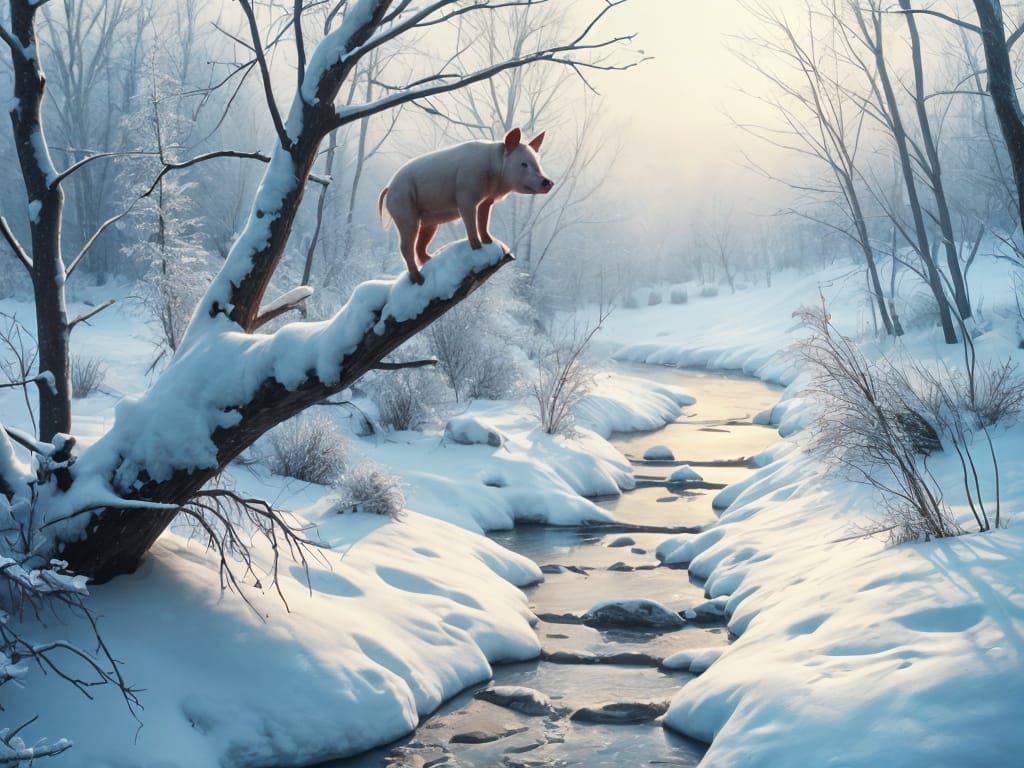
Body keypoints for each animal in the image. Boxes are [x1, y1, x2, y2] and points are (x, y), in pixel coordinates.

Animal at [377, 128, 554, 284]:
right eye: (524, 164)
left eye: (537, 163)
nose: (548, 182)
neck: (494, 173)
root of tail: (388, 187)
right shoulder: (465, 197)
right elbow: (471, 225)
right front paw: (478, 249)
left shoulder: (487, 201)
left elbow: (483, 221)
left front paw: (489, 241)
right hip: (404, 211)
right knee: (405, 247)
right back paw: (419, 280)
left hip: (429, 220)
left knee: (420, 245)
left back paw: (431, 259)